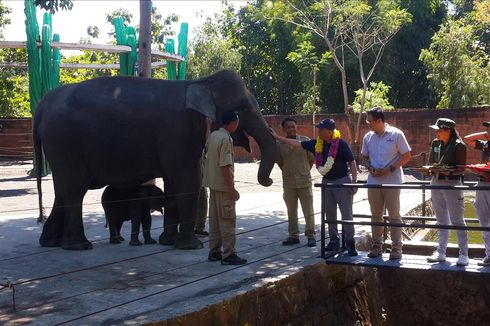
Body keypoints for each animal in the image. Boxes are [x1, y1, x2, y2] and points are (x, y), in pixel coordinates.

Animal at [33, 70, 276, 250]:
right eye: (243, 108)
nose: (270, 181)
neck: (199, 82)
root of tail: (43, 104)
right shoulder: (177, 132)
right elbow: (187, 179)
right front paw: (191, 246)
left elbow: (172, 181)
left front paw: (167, 242)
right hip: (64, 142)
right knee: (74, 190)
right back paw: (79, 246)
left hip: (59, 149)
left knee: (62, 191)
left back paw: (51, 242)